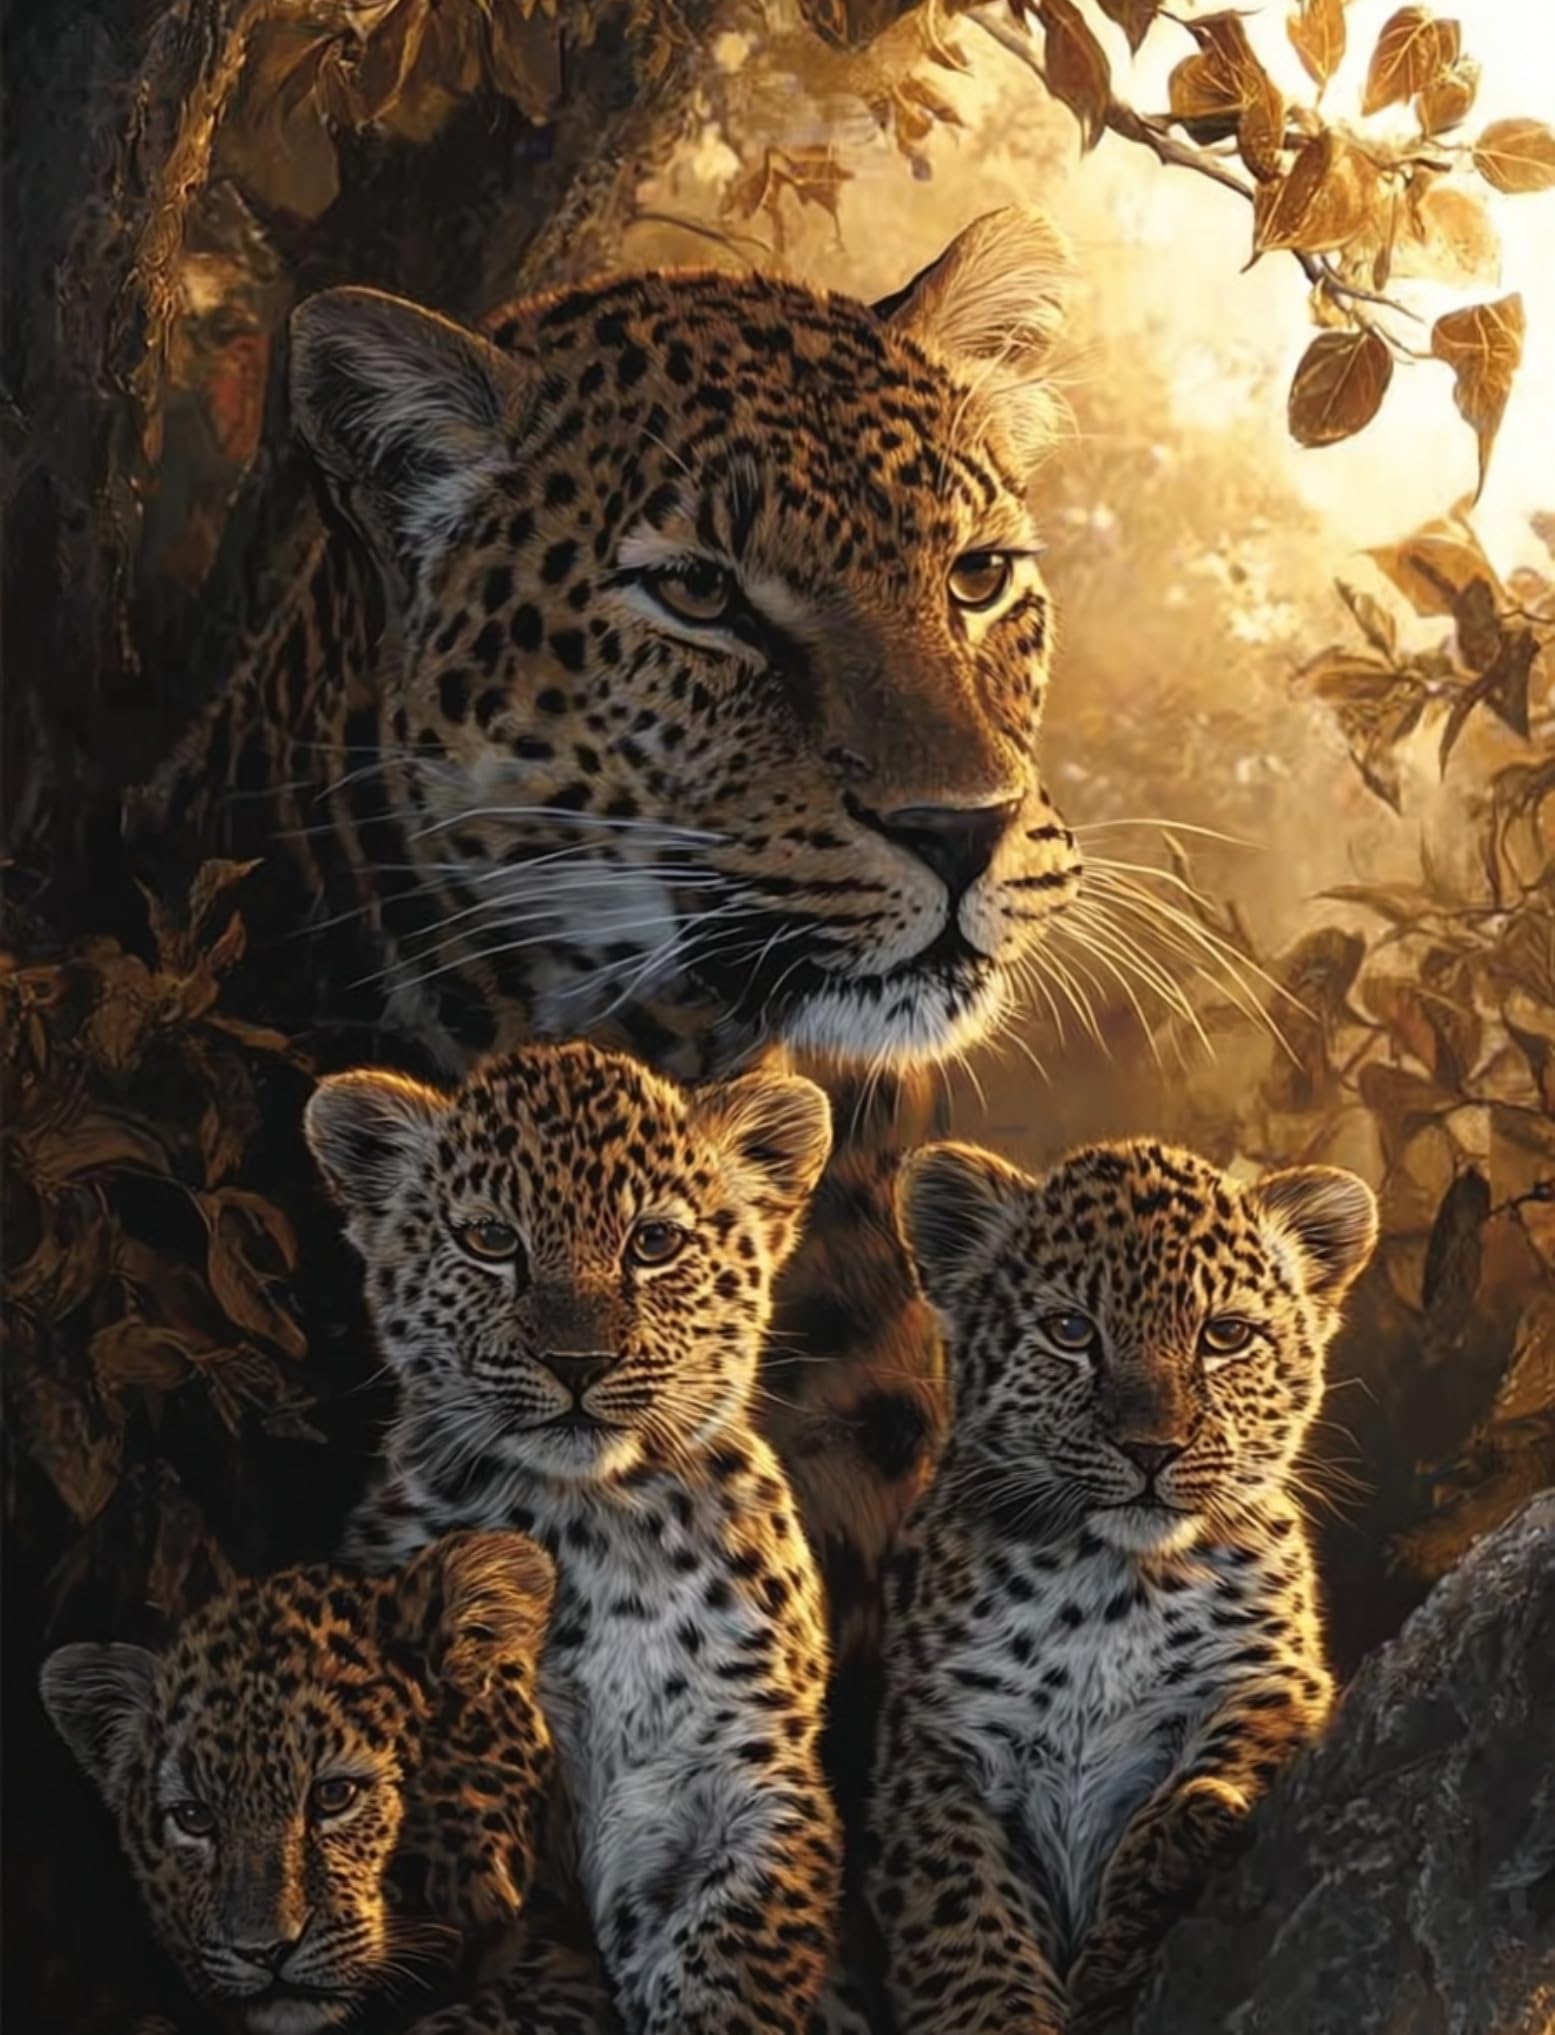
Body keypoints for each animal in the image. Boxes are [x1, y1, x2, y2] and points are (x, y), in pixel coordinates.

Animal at [304, 1038, 849, 2035]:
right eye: (491, 1240)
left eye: (654, 1243)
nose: (578, 1362)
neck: (594, 1529)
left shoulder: (744, 1765)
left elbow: (741, 1947)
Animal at [865, 1136, 1378, 2035]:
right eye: (1071, 1331)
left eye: (1225, 1335)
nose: (1151, 1449)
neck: (1105, 1591)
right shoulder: (931, 1746)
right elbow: (960, 1912)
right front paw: (1000, 2011)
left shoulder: (1273, 1677)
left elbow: (1221, 1760)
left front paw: (1139, 1906)